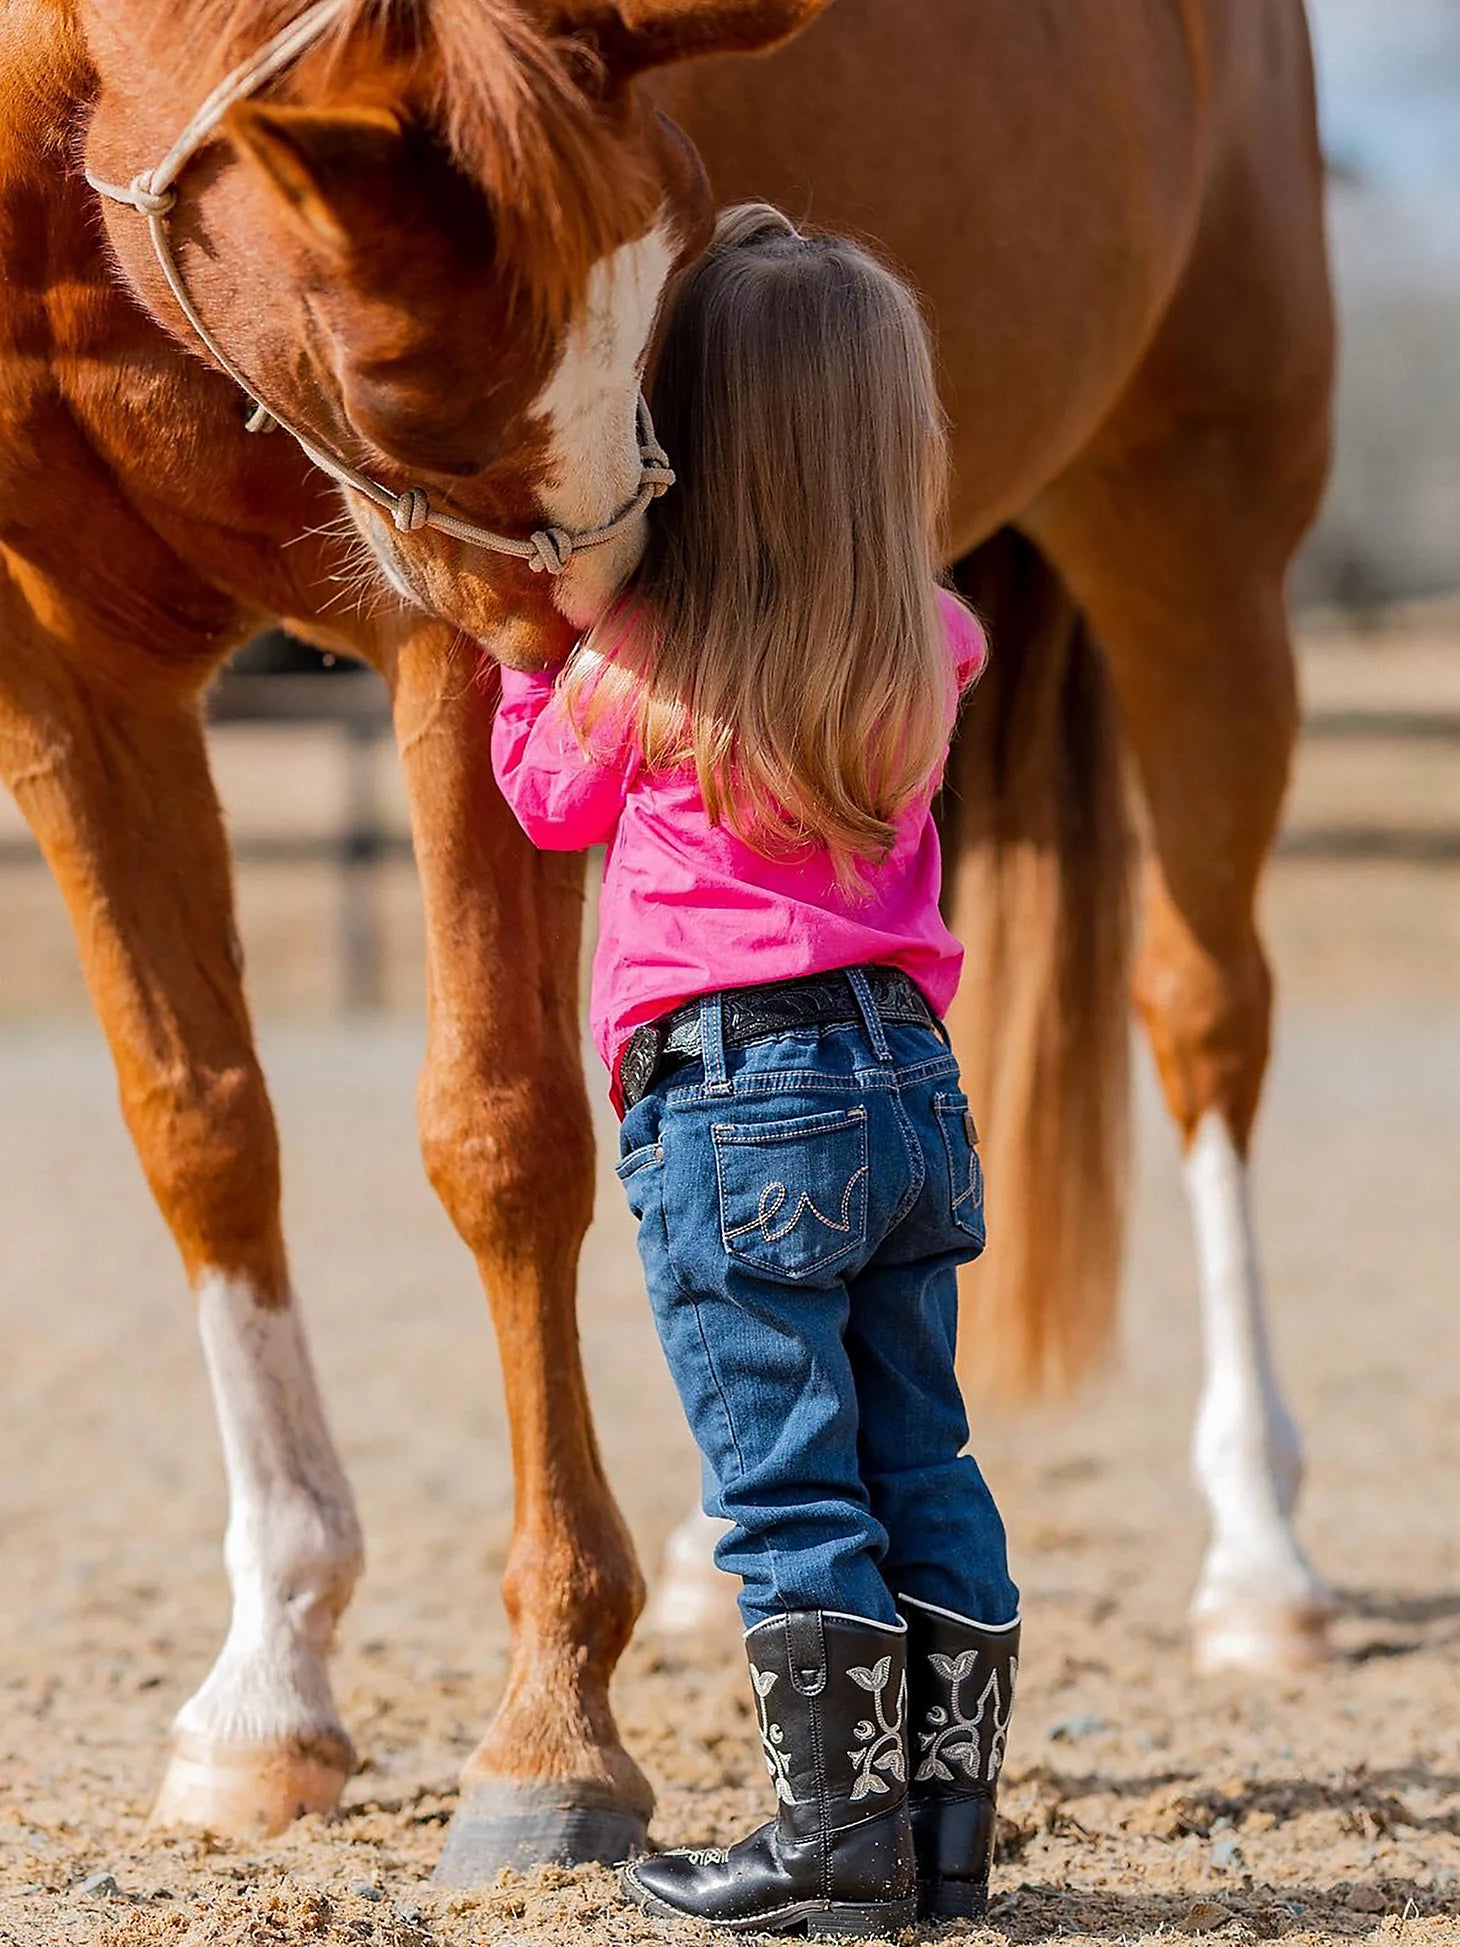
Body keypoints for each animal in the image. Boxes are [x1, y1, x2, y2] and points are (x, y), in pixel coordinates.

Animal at [0, 0, 1331, 1884]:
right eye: (403, 371)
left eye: (678, 233)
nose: (626, 627)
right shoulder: (65, 663)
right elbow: (201, 1130)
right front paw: (269, 1688)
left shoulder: (443, 654)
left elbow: (502, 1138)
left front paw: (551, 1728)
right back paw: (716, 1568)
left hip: (1196, 538)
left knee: (1206, 1017)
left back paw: (1261, 1562)